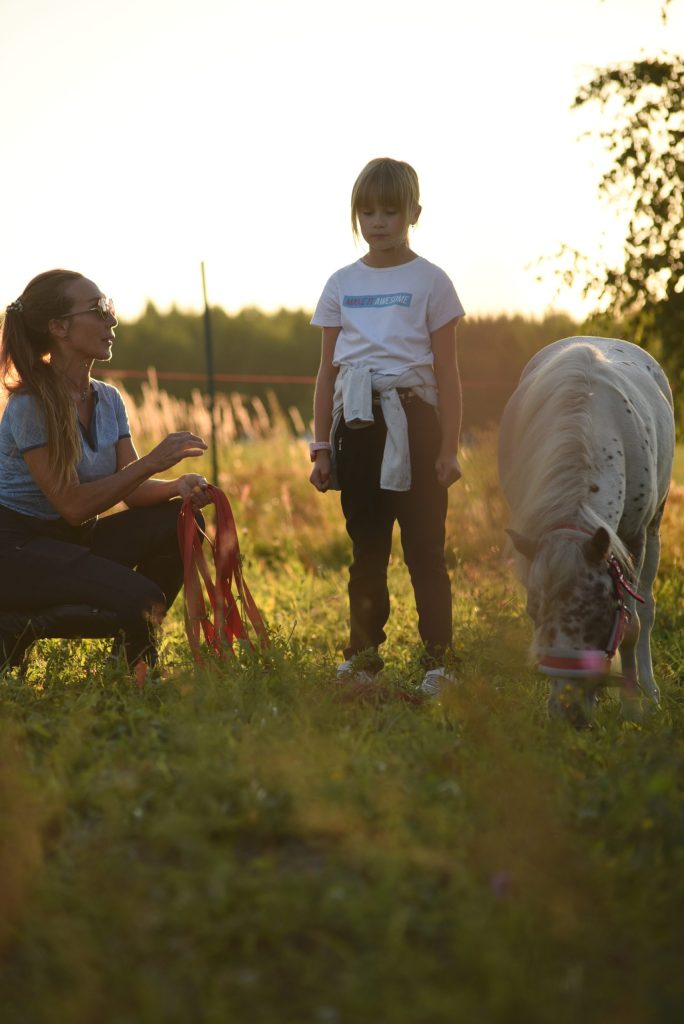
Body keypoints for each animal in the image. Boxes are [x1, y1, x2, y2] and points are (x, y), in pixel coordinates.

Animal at [499, 335, 675, 720]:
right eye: (534, 612)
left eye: (598, 616)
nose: (567, 713)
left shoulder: (632, 540)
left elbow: (631, 625)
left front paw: (632, 707)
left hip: (653, 532)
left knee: (647, 611)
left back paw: (651, 690)